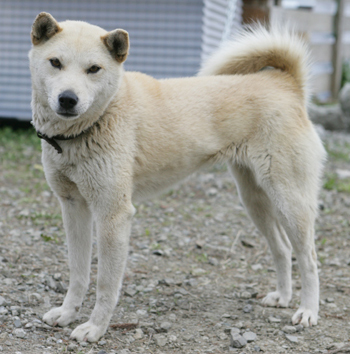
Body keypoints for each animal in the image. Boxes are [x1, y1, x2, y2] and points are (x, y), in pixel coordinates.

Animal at [28, 12, 326, 342]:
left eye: (94, 69)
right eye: (55, 62)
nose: (68, 99)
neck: (99, 118)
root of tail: (285, 83)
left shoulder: (113, 215)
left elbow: (105, 284)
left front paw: (95, 327)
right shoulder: (73, 207)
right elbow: (78, 273)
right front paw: (67, 313)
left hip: (291, 203)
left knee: (309, 259)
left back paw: (308, 311)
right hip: (254, 201)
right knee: (282, 249)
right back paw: (283, 297)